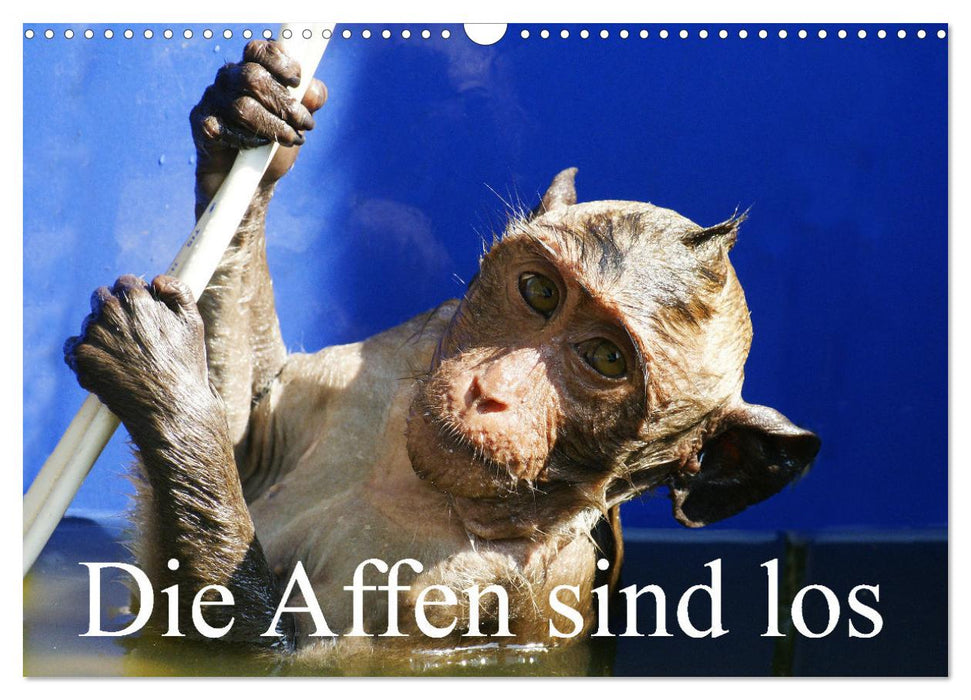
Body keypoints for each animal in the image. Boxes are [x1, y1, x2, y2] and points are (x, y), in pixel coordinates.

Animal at [63, 39, 819, 659]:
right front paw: (249, 115)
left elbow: (263, 650)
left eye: (606, 359)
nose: (493, 389)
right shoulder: (370, 371)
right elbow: (251, 430)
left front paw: (165, 380)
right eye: (539, 291)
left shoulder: (493, 585)